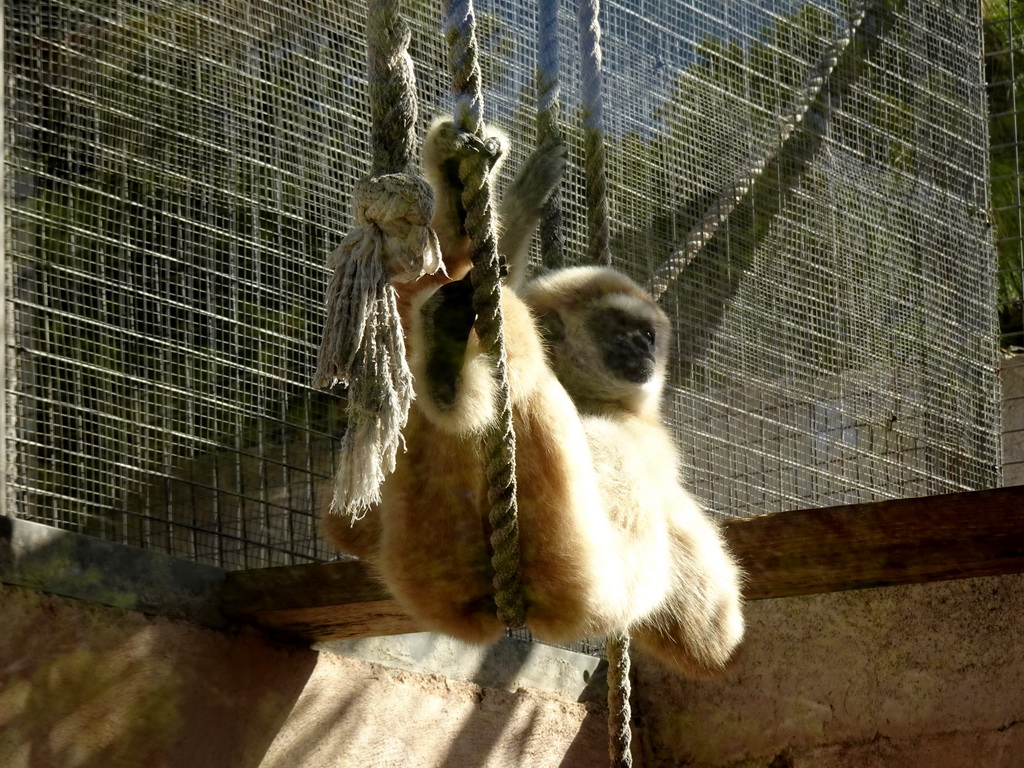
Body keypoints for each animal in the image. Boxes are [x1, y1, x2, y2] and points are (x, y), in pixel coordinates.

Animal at [321, 117, 745, 675]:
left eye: (647, 335)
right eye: (620, 330)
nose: (642, 347)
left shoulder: (638, 435)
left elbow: (712, 636)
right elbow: (349, 527)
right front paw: (461, 186)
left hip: (577, 576)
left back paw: (450, 368)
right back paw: (451, 358)